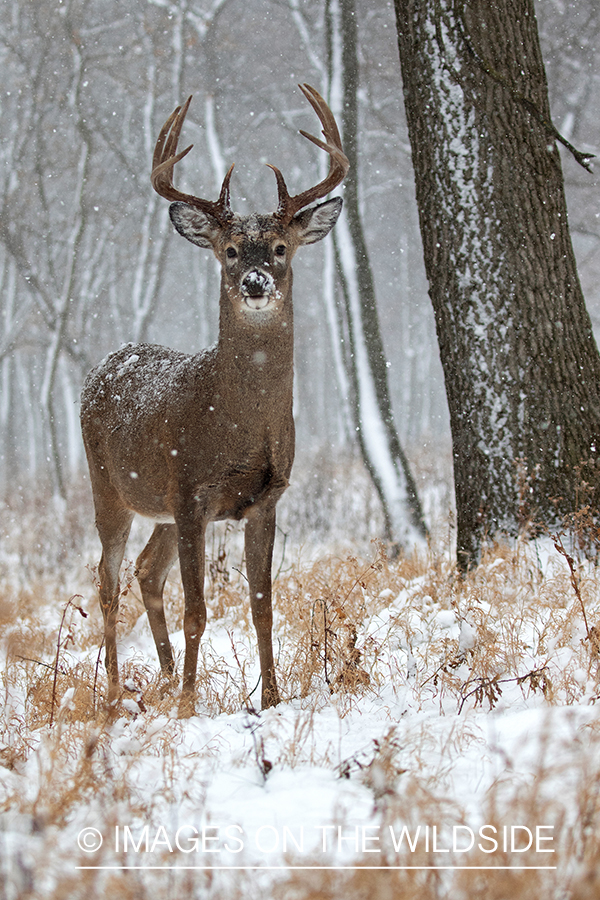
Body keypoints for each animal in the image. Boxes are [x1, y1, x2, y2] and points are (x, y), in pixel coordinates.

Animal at [82, 84, 350, 716]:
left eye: (280, 247)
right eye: (229, 250)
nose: (255, 281)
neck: (234, 426)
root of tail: (104, 365)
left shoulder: (267, 498)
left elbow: (262, 604)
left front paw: (272, 698)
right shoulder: (189, 493)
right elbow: (198, 610)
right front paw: (187, 704)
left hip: (155, 504)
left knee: (144, 571)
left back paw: (160, 676)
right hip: (109, 487)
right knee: (107, 581)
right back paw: (117, 692)